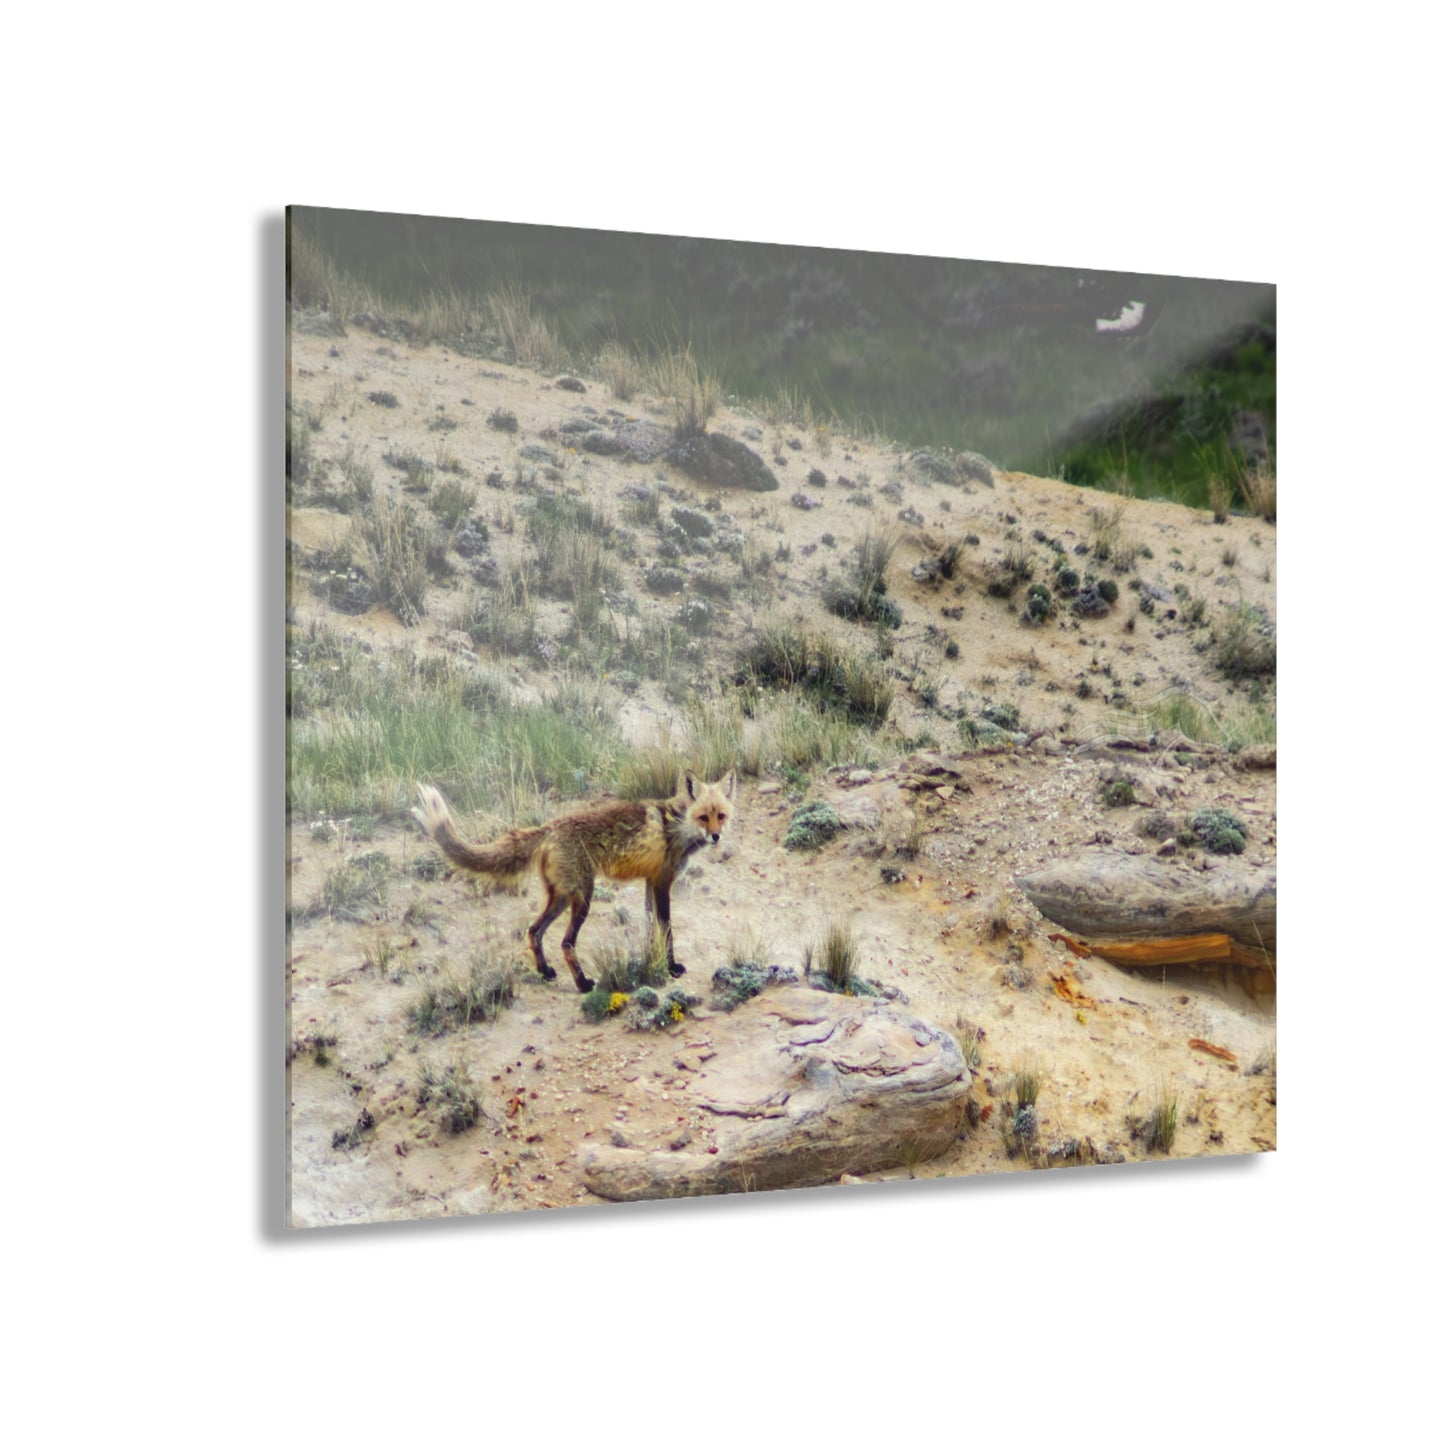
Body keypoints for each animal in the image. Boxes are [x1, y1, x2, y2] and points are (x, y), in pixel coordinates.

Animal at [411, 772, 735, 993]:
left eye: (721, 815)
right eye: (703, 817)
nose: (716, 836)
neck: (677, 825)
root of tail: (549, 827)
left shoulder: (649, 882)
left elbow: (650, 928)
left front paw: (650, 962)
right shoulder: (662, 882)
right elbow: (666, 930)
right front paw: (671, 967)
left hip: (562, 898)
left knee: (534, 931)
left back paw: (545, 972)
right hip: (583, 897)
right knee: (566, 943)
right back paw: (582, 984)